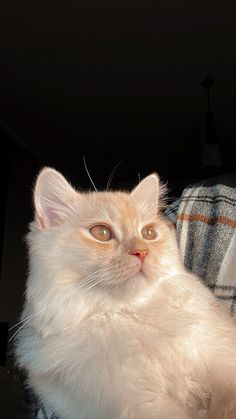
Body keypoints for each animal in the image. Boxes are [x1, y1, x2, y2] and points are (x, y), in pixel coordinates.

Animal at [15, 168, 236, 419]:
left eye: (149, 233)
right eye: (101, 233)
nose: (142, 252)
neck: (129, 313)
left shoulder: (221, 359)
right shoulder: (139, 404)